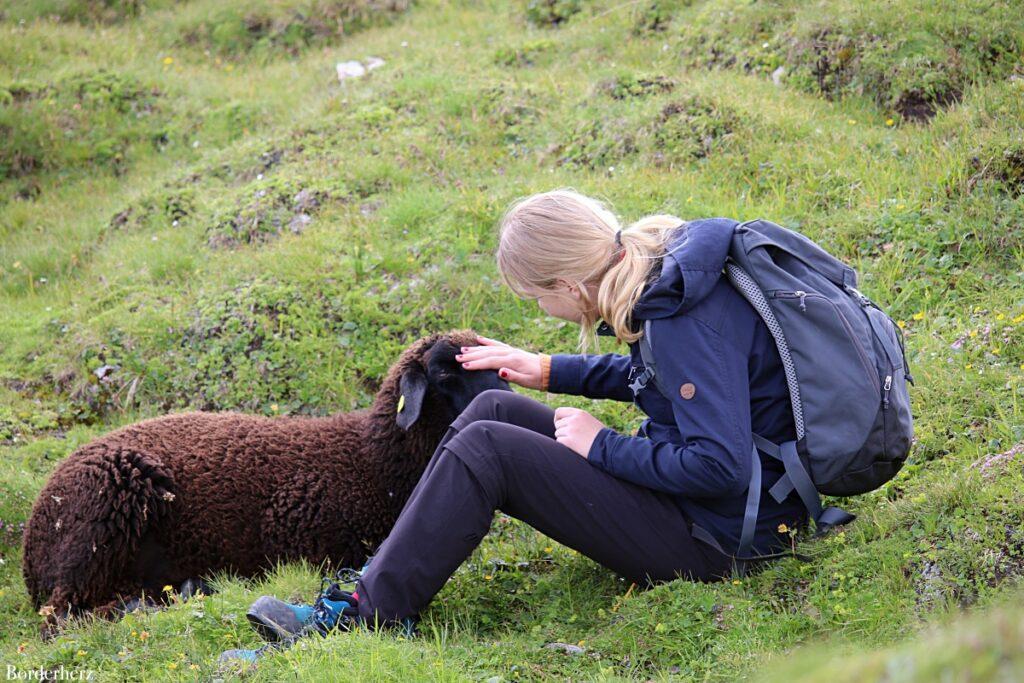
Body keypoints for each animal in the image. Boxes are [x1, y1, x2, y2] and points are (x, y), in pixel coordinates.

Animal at [25, 327, 512, 638]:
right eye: (445, 374)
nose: (508, 400)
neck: (373, 463)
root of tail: (32, 547)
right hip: (101, 521)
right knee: (61, 617)